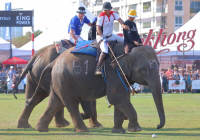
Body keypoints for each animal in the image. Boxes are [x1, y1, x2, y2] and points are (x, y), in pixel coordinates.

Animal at [30, 41, 164, 133]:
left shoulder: (120, 74)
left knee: (56, 101)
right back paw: (83, 130)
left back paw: (40, 129)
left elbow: (121, 97)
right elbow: (115, 97)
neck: (127, 50)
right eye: (143, 69)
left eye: (159, 65)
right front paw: (136, 129)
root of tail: (53, 62)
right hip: (64, 79)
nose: (157, 126)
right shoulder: (112, 71)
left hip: (60, 80)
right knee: (70, 103)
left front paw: (119, 131)